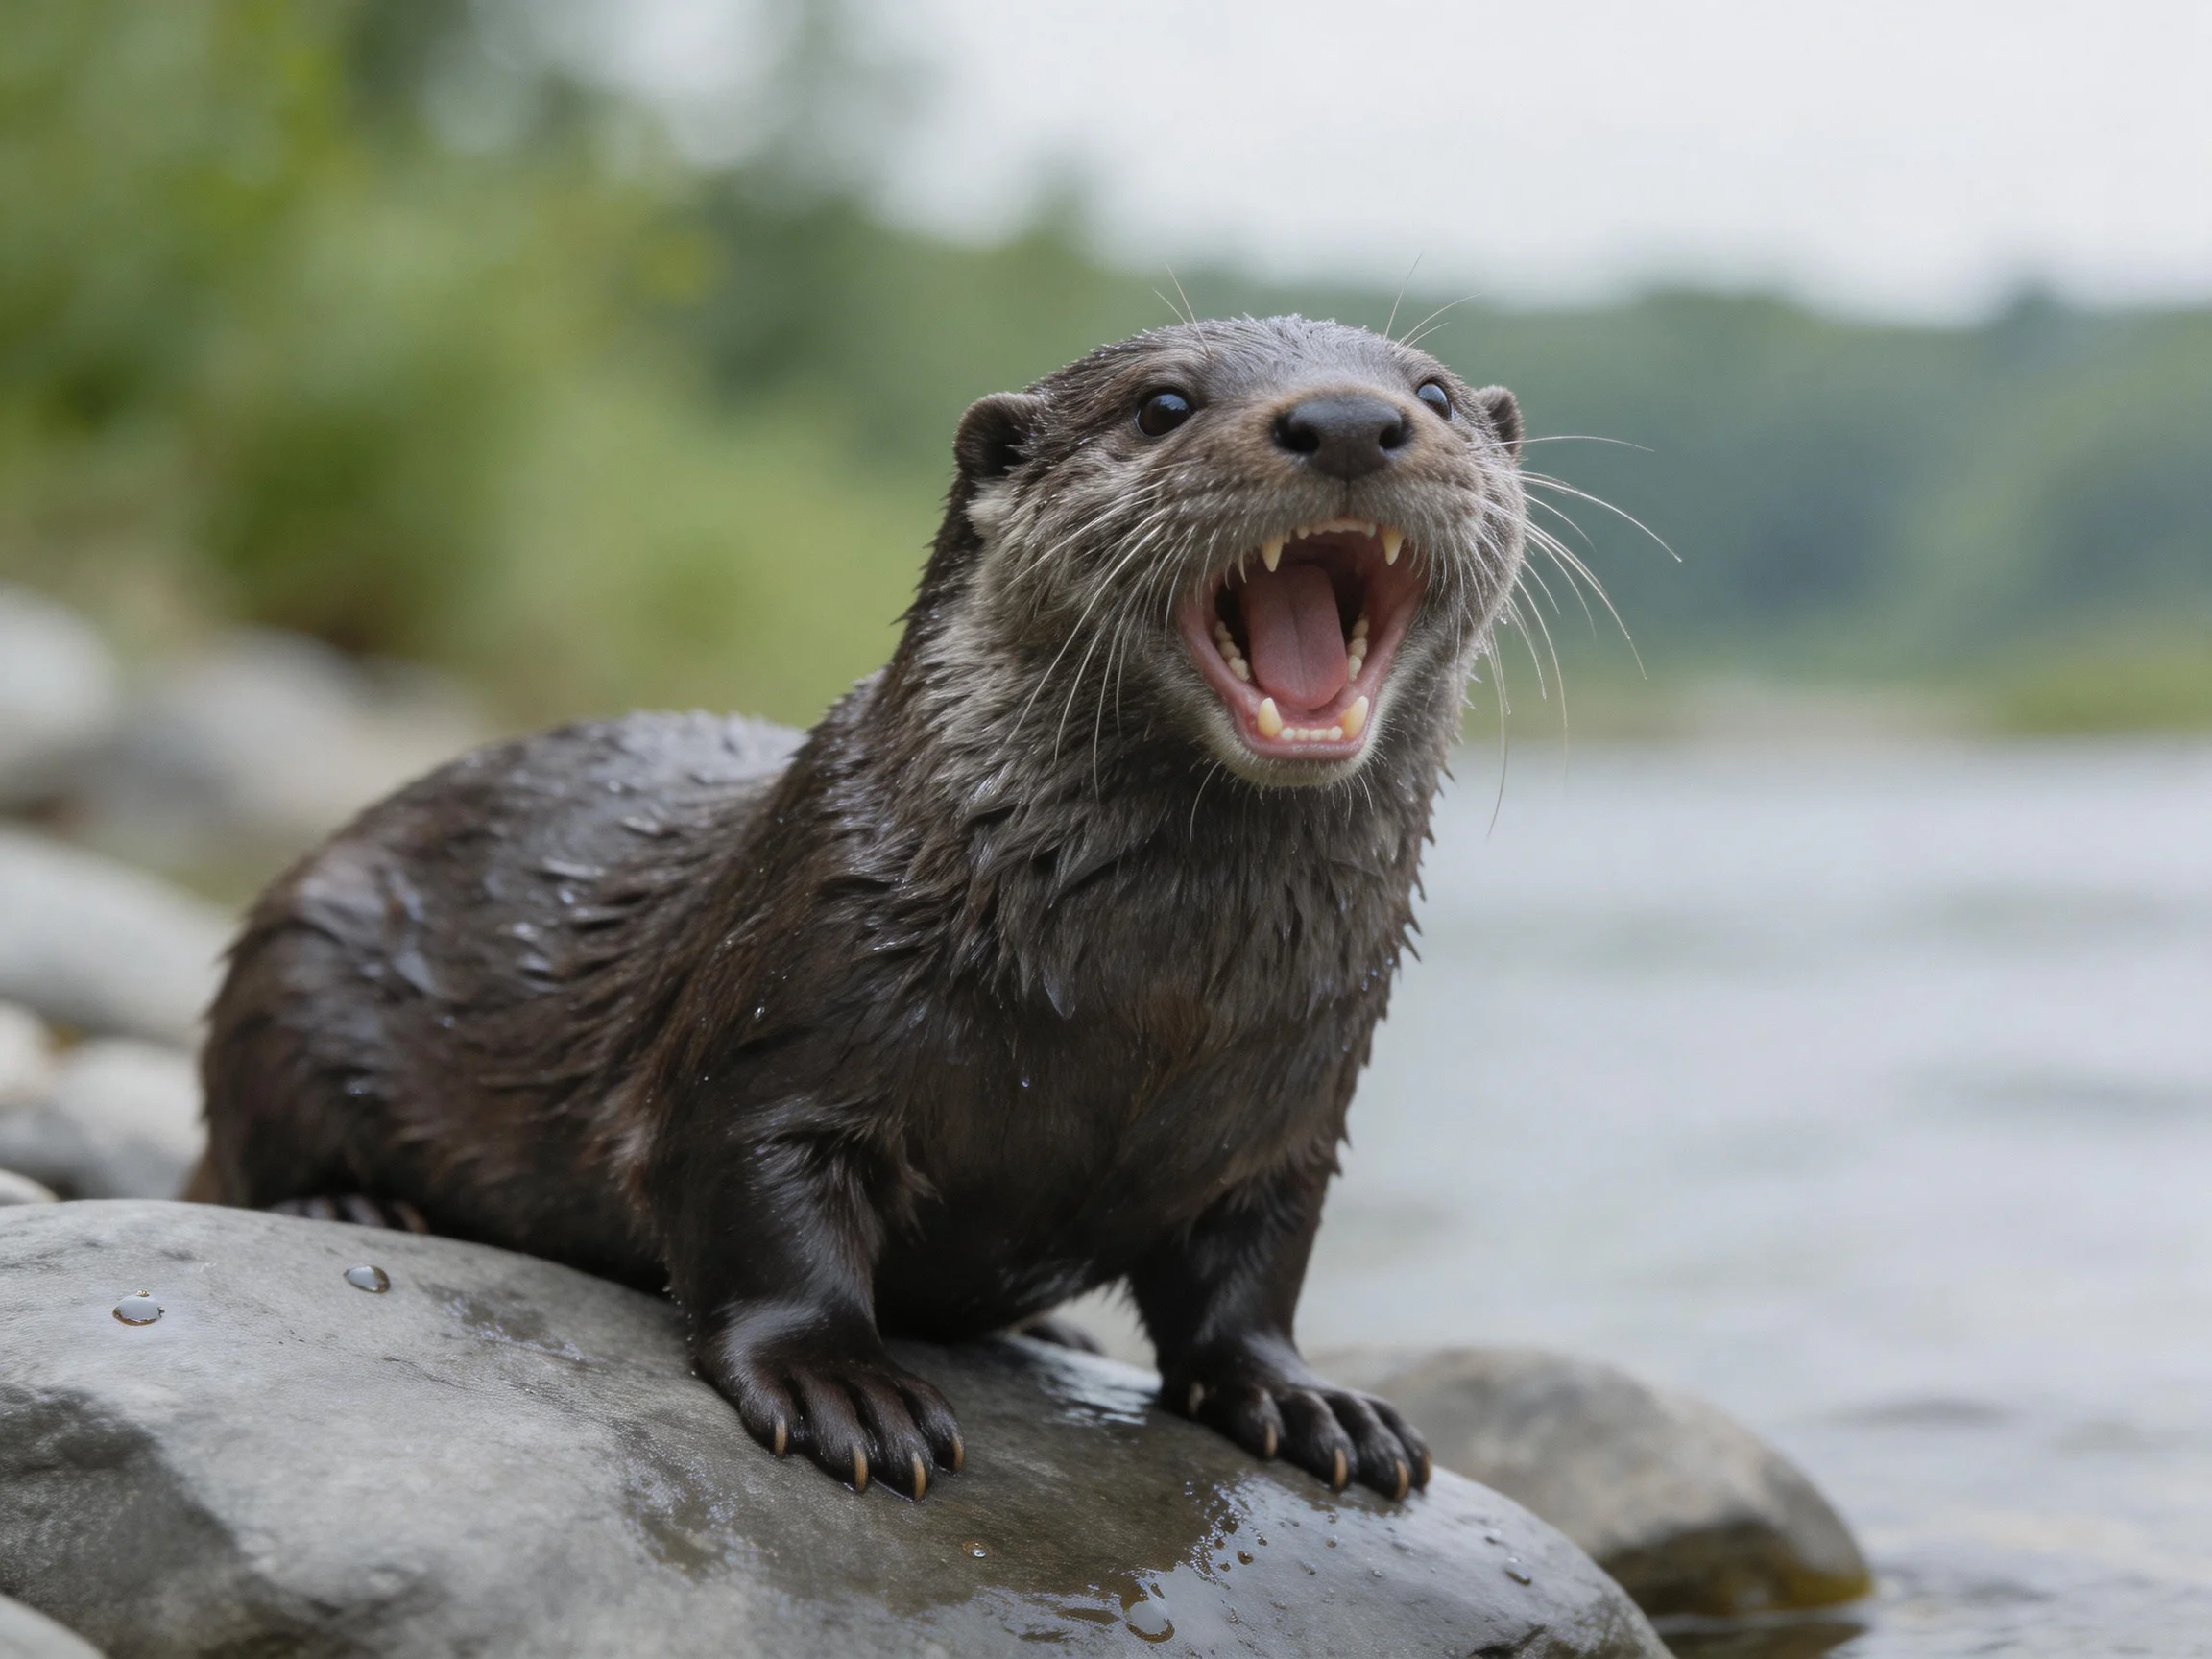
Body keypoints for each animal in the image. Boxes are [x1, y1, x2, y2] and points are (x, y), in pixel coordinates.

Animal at [197, 316, 1527, 1503]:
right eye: (1162, 404)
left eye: (1435, 392)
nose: (1350, 419)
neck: (1144, 1001)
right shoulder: (787, 1011)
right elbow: (759, 1205)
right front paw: (841, 1384)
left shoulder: (1296, 1109)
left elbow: (1253, 1279)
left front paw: (1312, 1401)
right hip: (296, 949)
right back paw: (352, 1203)